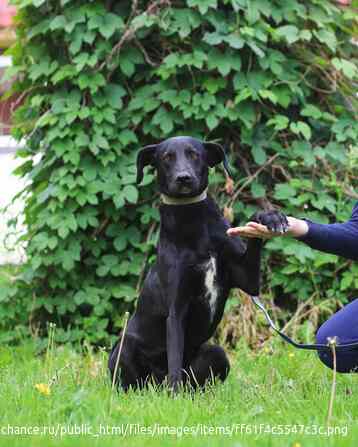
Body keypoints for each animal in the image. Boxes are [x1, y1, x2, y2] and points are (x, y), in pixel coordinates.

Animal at [109, 136, 288, 392]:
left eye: (194, 154)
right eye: (166, 157)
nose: (183, 178)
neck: (192, 218)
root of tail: (157, 383)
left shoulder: (248, 279)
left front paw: (270, 217)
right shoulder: (176, 311)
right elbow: (174, 357)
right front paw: (174, 397)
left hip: (216, 353)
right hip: (124, 349)